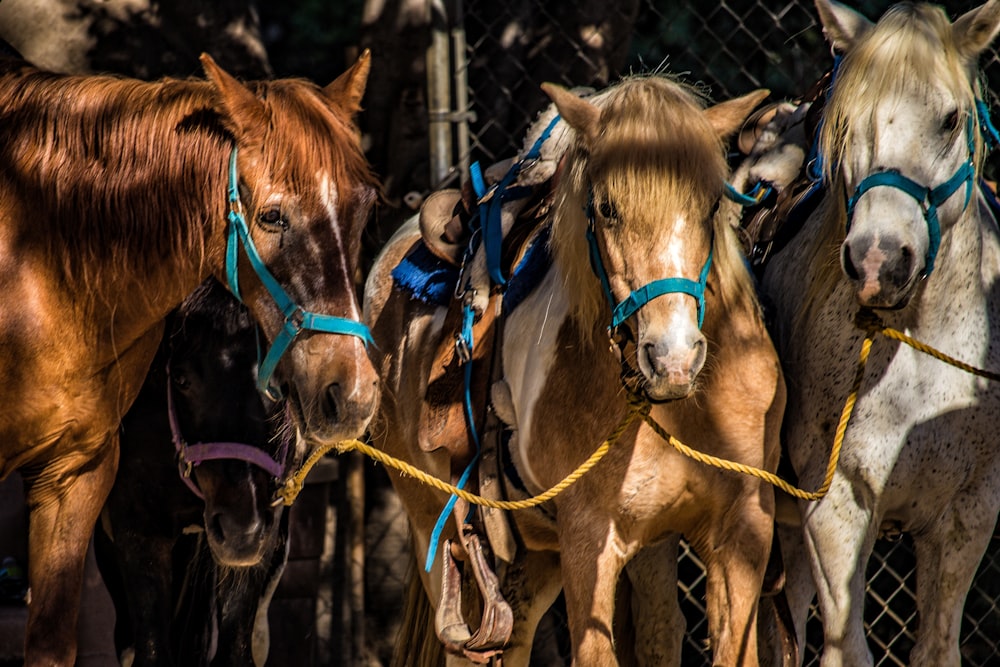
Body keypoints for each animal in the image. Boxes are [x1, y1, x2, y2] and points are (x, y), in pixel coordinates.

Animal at [93, 282, 296, 667]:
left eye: (278, 381)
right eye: (181, 378)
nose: (241, 530)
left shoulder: (263, 537)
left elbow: (235, 651)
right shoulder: (138, 530)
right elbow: (151, 651)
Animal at [364, 74, 784, 667]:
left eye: (709, 206)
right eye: (606, 209)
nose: (672, 358)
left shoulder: (742, 533)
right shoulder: (590, 543)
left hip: (536, 556)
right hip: (437, 531)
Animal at [760, 2, 1000, 664]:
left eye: (950, 118)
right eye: (849, 123)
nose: (877, 262)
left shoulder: (968, 513)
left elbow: (937, 647)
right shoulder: (836, 509)